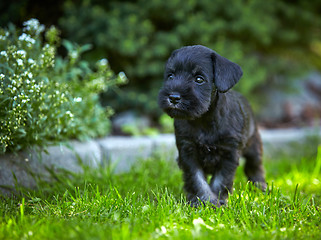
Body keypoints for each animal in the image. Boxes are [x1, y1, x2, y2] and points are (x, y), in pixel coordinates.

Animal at [158, 46, 264, 207]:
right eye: (171, 76)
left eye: (199, 79)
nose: (174, 97)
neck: (204, 120)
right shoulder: (188, 152)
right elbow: (197, 179)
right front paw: (204, 200)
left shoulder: (229, 153)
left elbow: (220, 180)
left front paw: (217, 202)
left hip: (254, 146)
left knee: (255, 166)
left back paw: (261, 189)